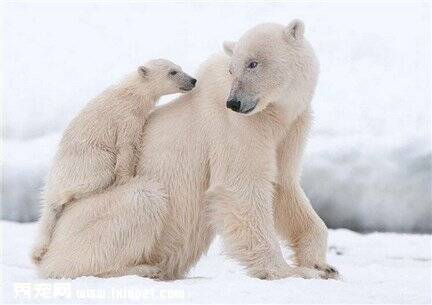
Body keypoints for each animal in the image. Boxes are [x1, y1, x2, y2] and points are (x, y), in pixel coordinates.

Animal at [38, 20, 338, 280]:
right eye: (232, 69)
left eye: (253, 63)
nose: (235, 102)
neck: (273, 114)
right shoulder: (235, 128)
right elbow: (241, 187)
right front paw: (290, 271)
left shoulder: (290, 128)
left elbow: (284, 186)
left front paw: (322, 265)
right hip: (92, 216)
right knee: (141, 199)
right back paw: (142, 268)